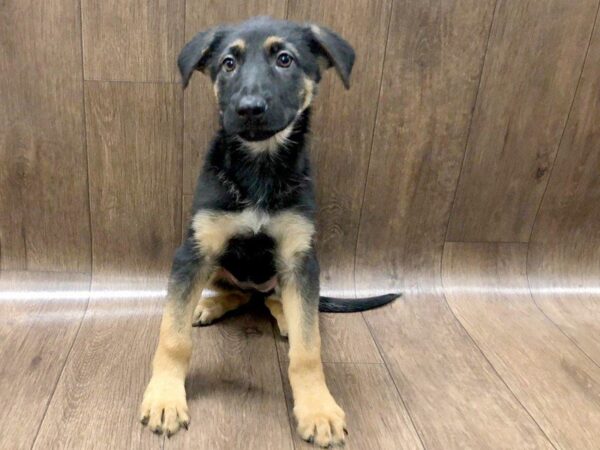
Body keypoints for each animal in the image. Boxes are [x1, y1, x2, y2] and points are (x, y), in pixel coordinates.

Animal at [141, 16, 398, 446]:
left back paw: (286, 318)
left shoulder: (299, 257)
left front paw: (318, 409)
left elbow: (309, 352)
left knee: (273, 300)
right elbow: (173, 337)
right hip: (218, 264)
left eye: (285, 59)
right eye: (228, 63)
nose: (248, 109)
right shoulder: (195, 251)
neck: (259, 167)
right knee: (238, 293)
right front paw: (164, 398)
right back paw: (206, 305)